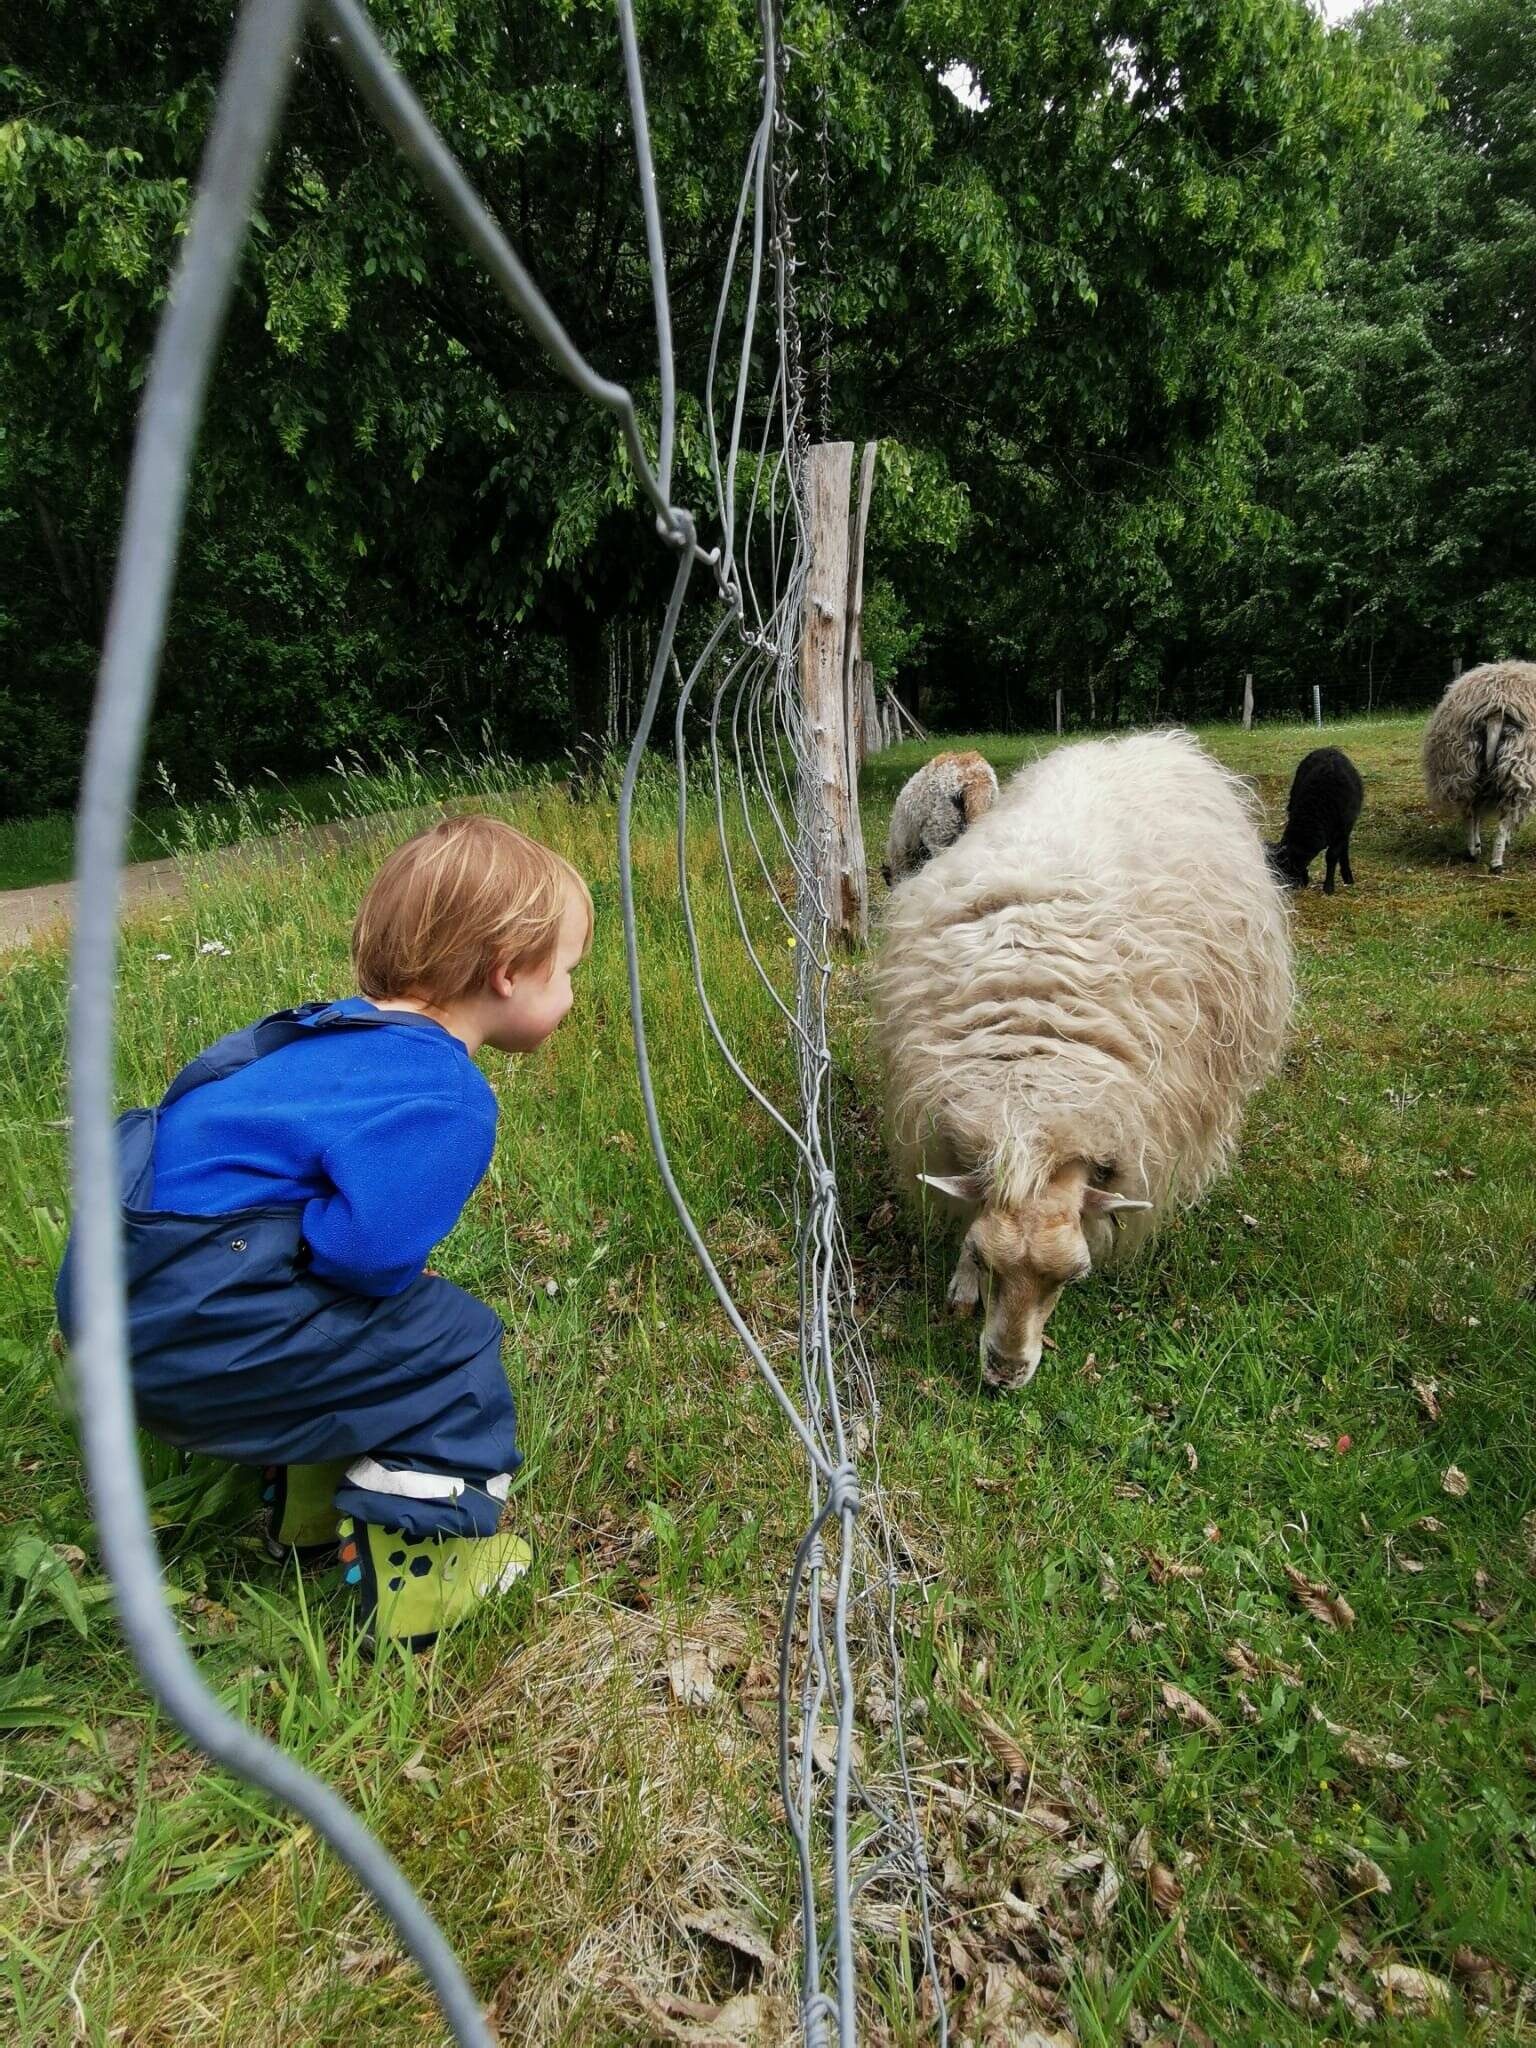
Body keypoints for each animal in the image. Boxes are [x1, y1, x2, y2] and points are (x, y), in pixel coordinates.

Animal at [1267, 746, 1364, 895]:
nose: (1293, 886)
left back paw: (1348, 877)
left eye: (1287, 868)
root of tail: (1328, 749)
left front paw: (1328, 887)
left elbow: (1332, 855)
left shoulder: (1343, 828)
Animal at [1423, 660, 1536, 873]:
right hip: (1517, 766)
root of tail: (1497, 707)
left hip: (1462, 764)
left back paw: (1473, 850)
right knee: (1505, 816)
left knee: (1470, 810)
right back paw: (1497, 862)